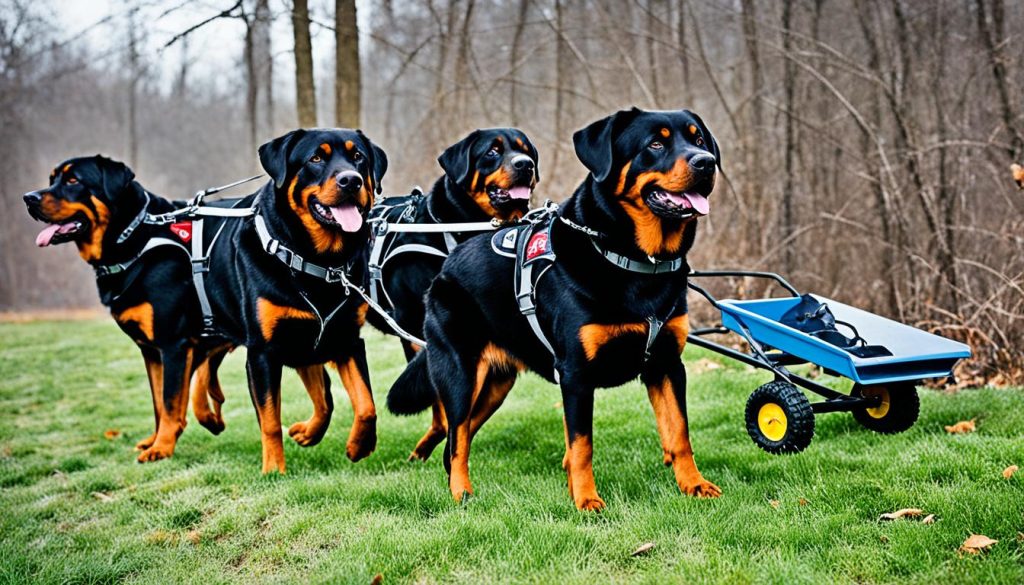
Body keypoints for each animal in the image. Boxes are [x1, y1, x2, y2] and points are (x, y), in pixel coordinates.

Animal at [24, 156, 229, 463]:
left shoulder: (173, 344)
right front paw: (157, 440)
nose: (28, 198)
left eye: (73, 180)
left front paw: (161, 447)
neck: (133, 239)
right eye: (52, 180)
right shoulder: (153, 351)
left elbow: (170, 402)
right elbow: (159, 402)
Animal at [192, 128, 387, 471]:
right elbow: (270, 419)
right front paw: (273, 469)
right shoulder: (262, 351)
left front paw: (358, 446)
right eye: (316, 158)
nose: (351, 180)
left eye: (358, 157)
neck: (316, 261)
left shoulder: (346, 338)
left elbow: (364, 404)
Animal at [387, 107, 724, 510]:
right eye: (656, 144)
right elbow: (582, 446)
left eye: (698, 139)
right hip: (460, 375)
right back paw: (461, 492)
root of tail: (445, 269)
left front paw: (693, 485)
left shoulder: (667, 365)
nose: (706, 163)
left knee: (459, 435)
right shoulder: (576, 374)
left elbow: (679, 434)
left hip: (495, 384)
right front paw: (586, 500)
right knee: (457, 438)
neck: (636, 262)